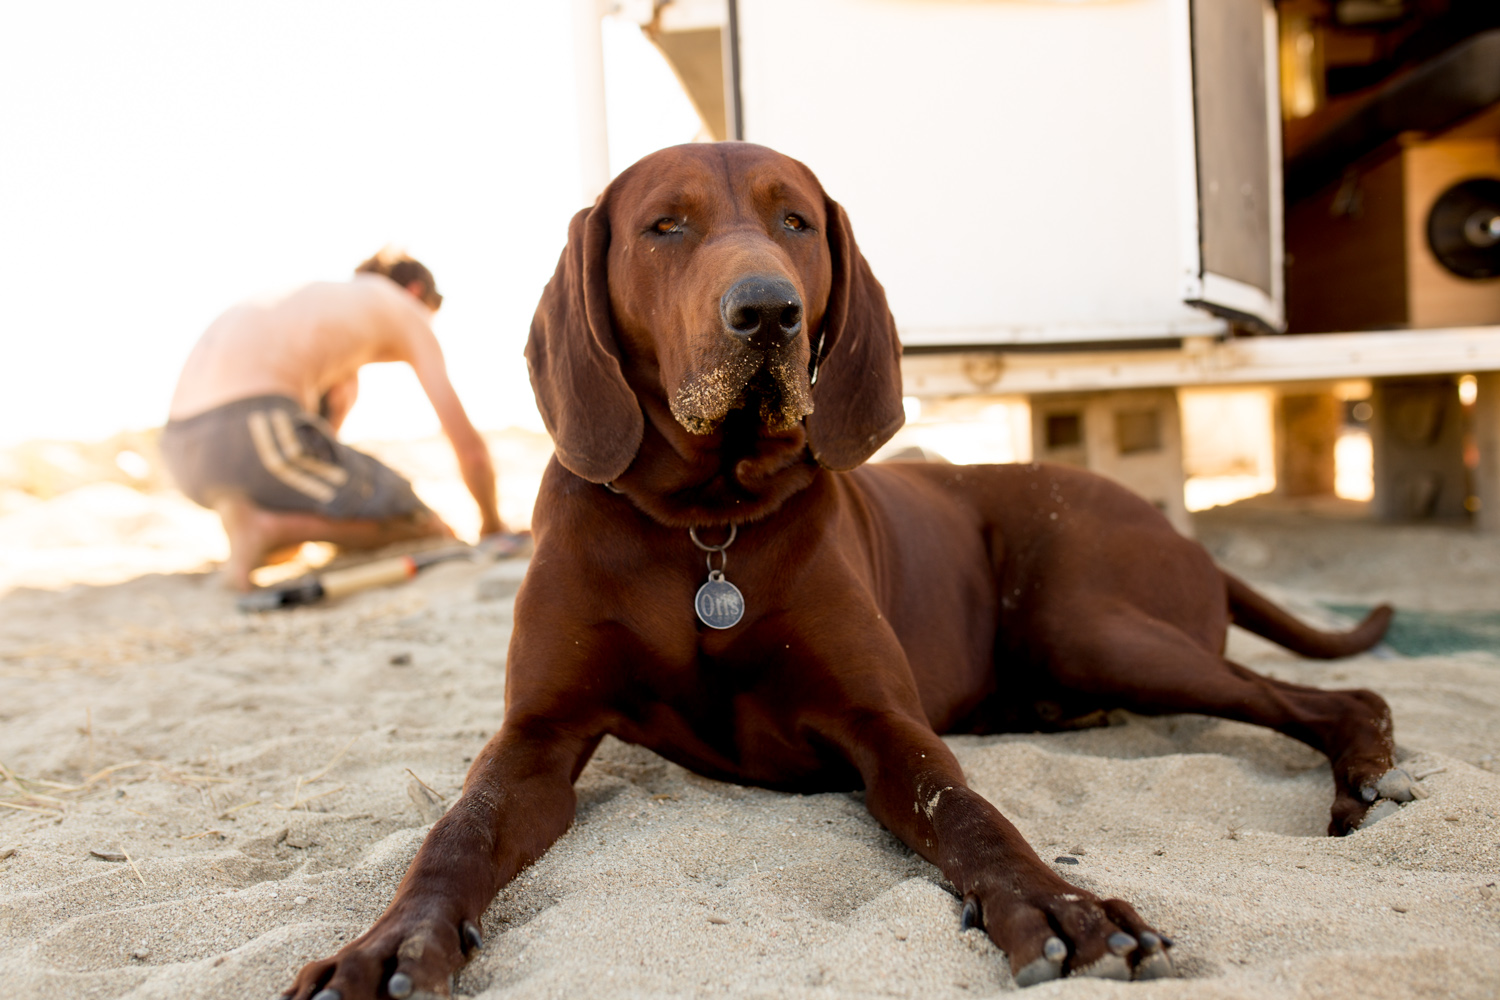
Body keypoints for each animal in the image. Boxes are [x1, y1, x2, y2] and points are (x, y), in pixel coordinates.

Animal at [286, 142, 1398, 1000]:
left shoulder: (882, 724)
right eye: (665, 226)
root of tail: (1185, 534)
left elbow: (969, 811)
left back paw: (1366, 778)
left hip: (1088, 622)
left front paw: (1057, 903)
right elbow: (455, 834)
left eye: (796, 222)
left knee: (1334, 697)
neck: (705, 529)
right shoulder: (537, 737)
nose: (767, 311)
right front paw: (390, 942)